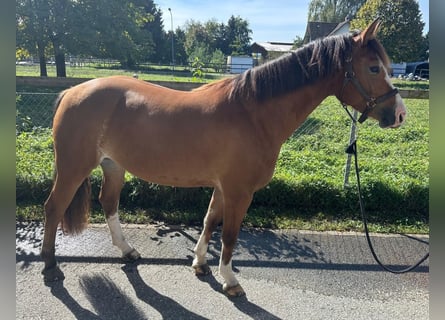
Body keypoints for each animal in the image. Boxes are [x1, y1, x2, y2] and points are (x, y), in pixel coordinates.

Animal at [41, 18, 406, 296]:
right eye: (374, 68)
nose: (400, 114)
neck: (252, 114)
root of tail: (72, 92)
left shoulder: (222, 188)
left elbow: (208, 221)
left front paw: (201, 264)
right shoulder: (239, 192)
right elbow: (229, 235)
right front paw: (230, 281)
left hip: (113, 166)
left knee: (109, 203)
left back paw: (127, 251)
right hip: (74, 168)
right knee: (54, 207)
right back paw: (50, 266)